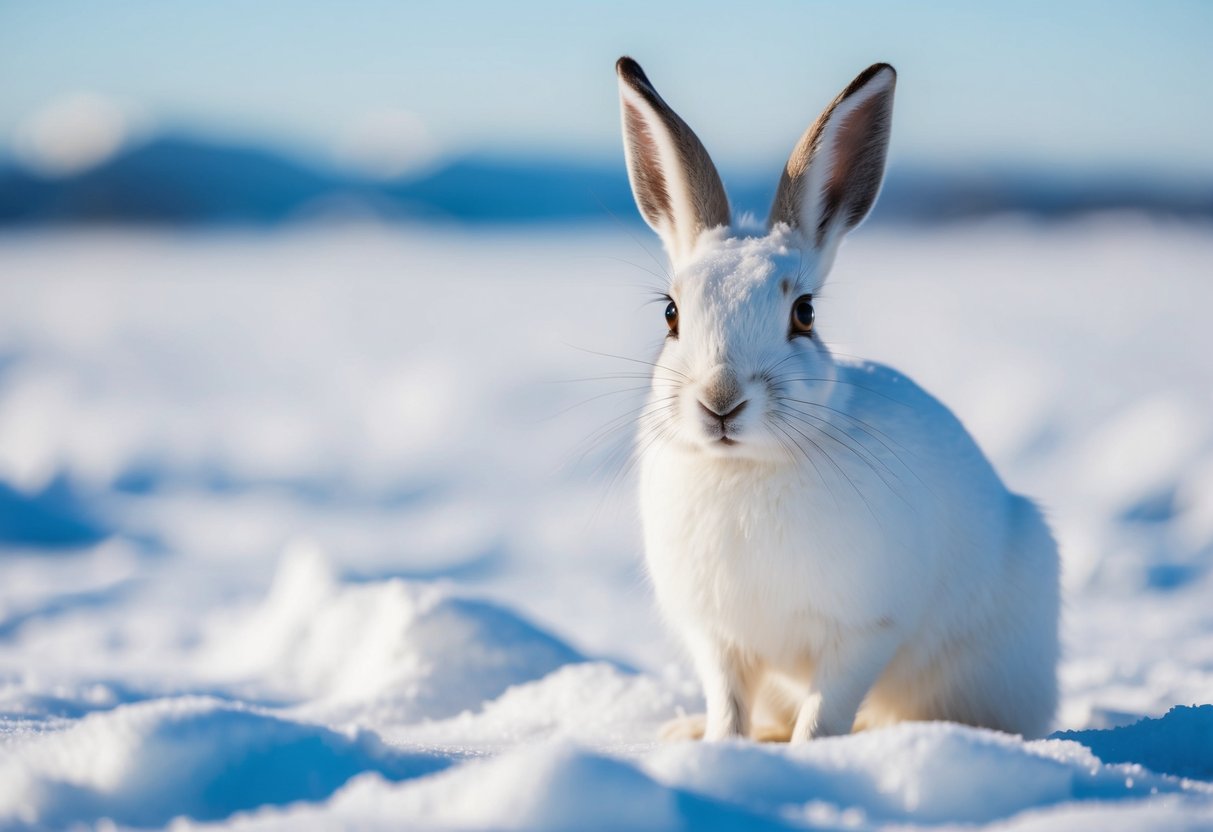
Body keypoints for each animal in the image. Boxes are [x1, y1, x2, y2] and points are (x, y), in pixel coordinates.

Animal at [615, 56, 1060, 743]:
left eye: (804, 314)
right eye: (671, 314)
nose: (721, 401)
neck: (746, 466)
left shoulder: (863, 631)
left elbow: (828, 707)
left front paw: (811, 753)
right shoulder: (717, 639)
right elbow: (728, 703)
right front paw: (720, 746)